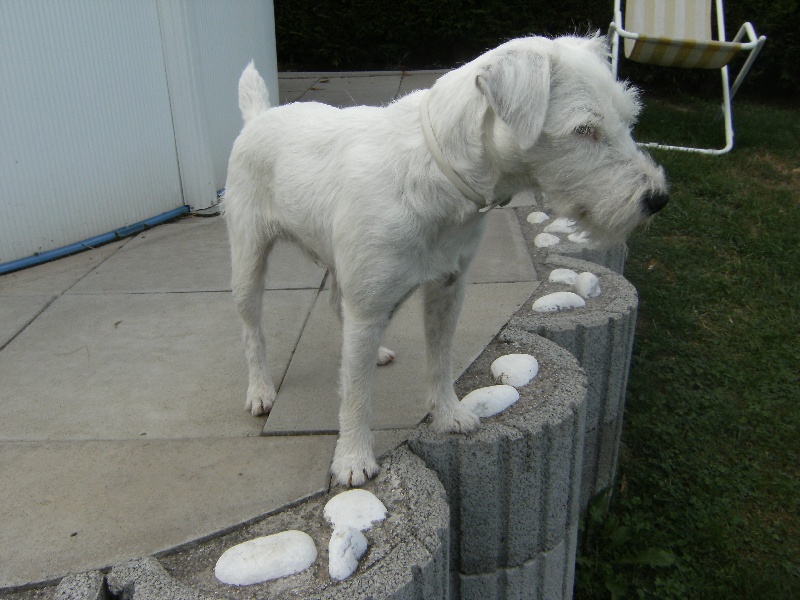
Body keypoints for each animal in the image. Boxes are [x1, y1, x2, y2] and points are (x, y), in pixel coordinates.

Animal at [224, 34, 668, 486]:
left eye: (627, 119)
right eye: (584, 130)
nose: (658, 198)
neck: (440, 170)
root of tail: (258, 117)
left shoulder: (447, 290)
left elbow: (440, 359)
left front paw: (448, 414)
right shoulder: (368, 307)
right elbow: (356, 393)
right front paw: (352, 457)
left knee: (336, 305)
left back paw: (374, 352)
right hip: (248, 260)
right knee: (252, 329)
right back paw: (260, 390)